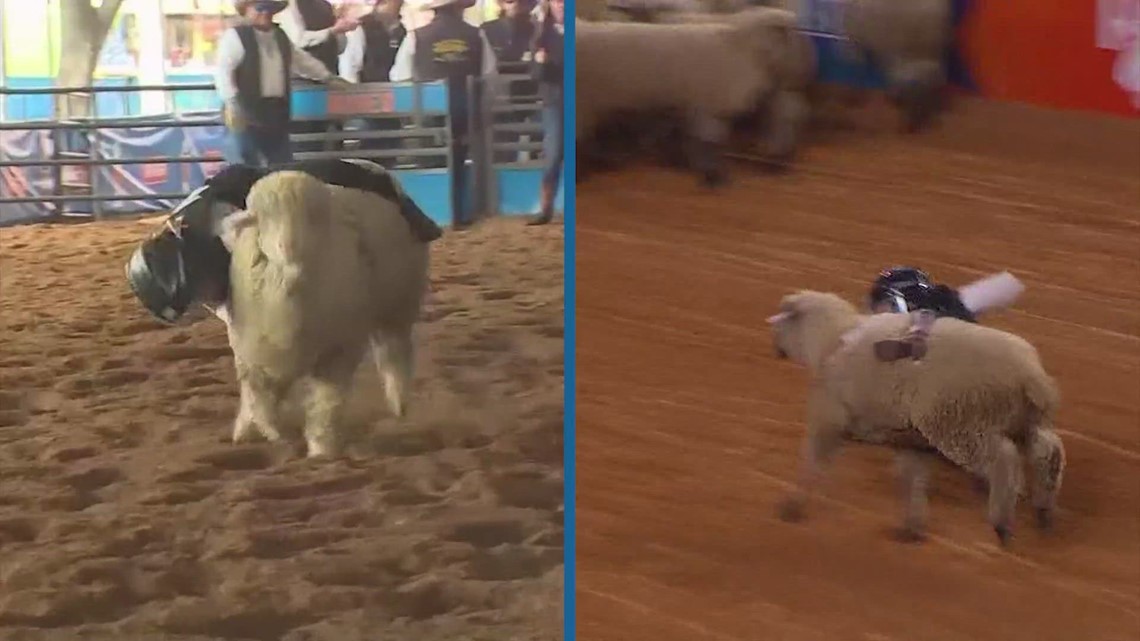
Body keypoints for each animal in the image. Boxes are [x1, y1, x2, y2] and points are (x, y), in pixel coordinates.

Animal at [220, 168, 428, 458]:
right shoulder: (254, 357)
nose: (289, 252)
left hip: (398, 307)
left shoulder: (339, 351)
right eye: (264, 220)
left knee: (394, 355)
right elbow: (260, 403)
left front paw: (321, 449)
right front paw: (265, 432)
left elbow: (326, 404)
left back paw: (399, 404)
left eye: (315, 219)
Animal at [766, 289, 1067, 542]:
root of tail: (1031, 376)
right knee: (1048, 451)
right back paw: (1044, 509)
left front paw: (793, 505)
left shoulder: (828, 418)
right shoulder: (910, 440)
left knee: (1004, 460)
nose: (775, 348)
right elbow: (913, 479)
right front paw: (913, 525)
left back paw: (1002, 522)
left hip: (962, 424)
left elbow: (813, 460)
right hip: (1022, 421)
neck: (831, 338)